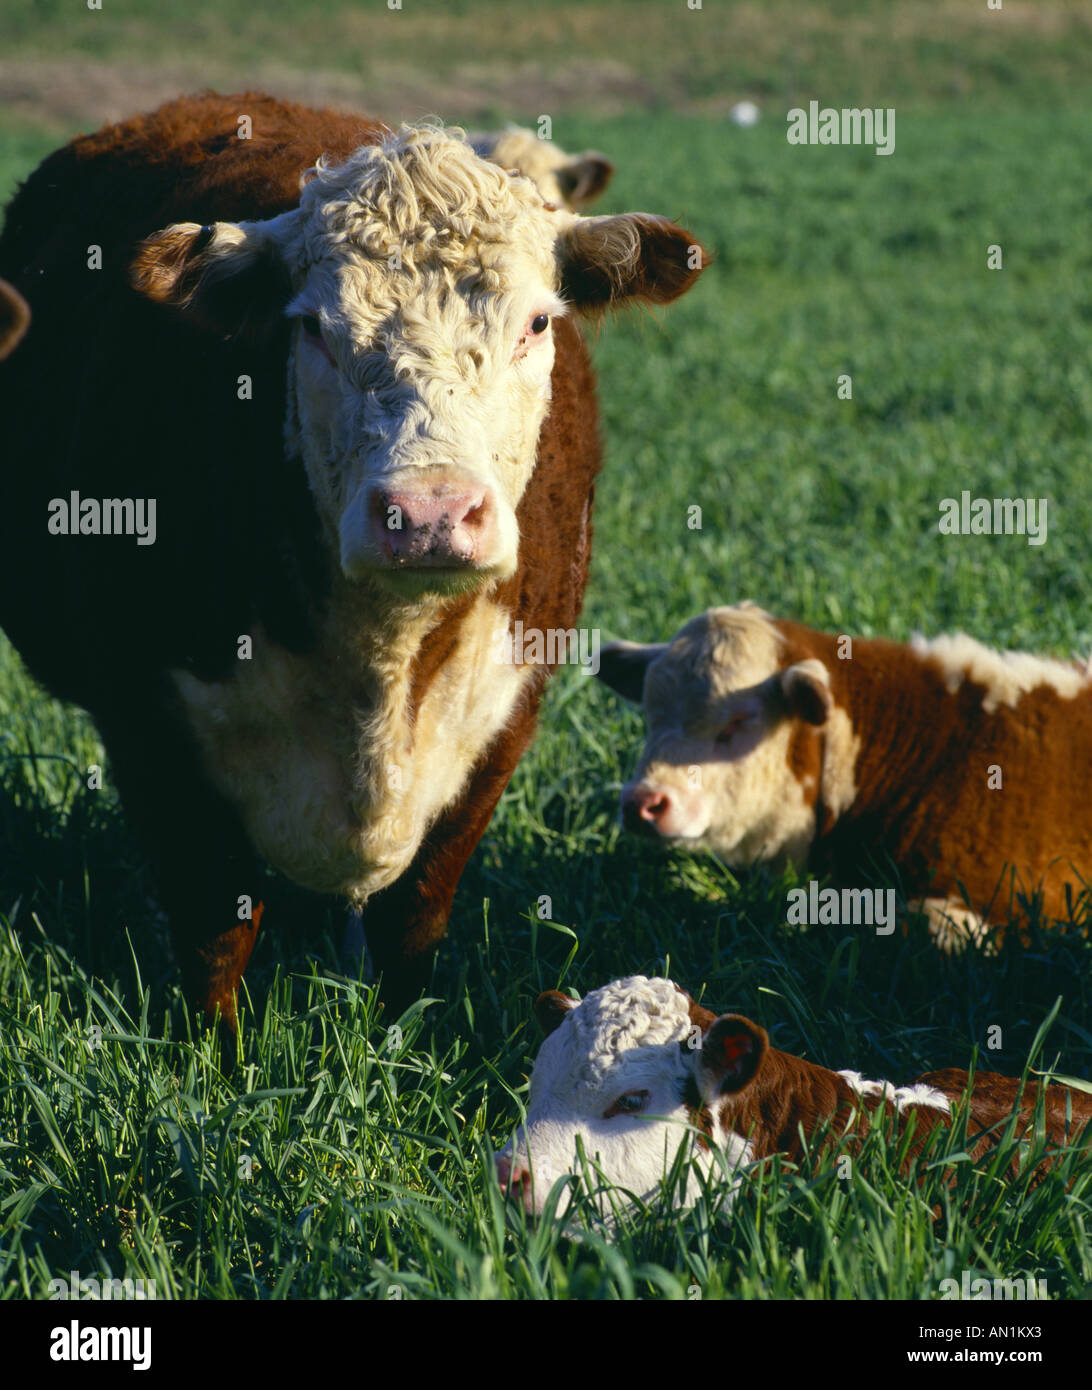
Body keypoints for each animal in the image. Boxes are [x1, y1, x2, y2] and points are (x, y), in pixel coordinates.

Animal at [0, 89, 705, 1050]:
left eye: (536, 322)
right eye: (311, 328)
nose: (431, 514)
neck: (381, 666)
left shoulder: (506, 715)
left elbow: (417, 913)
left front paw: (403, 1041)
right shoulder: (144, 719)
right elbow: (213, 921)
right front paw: (214, 1057)